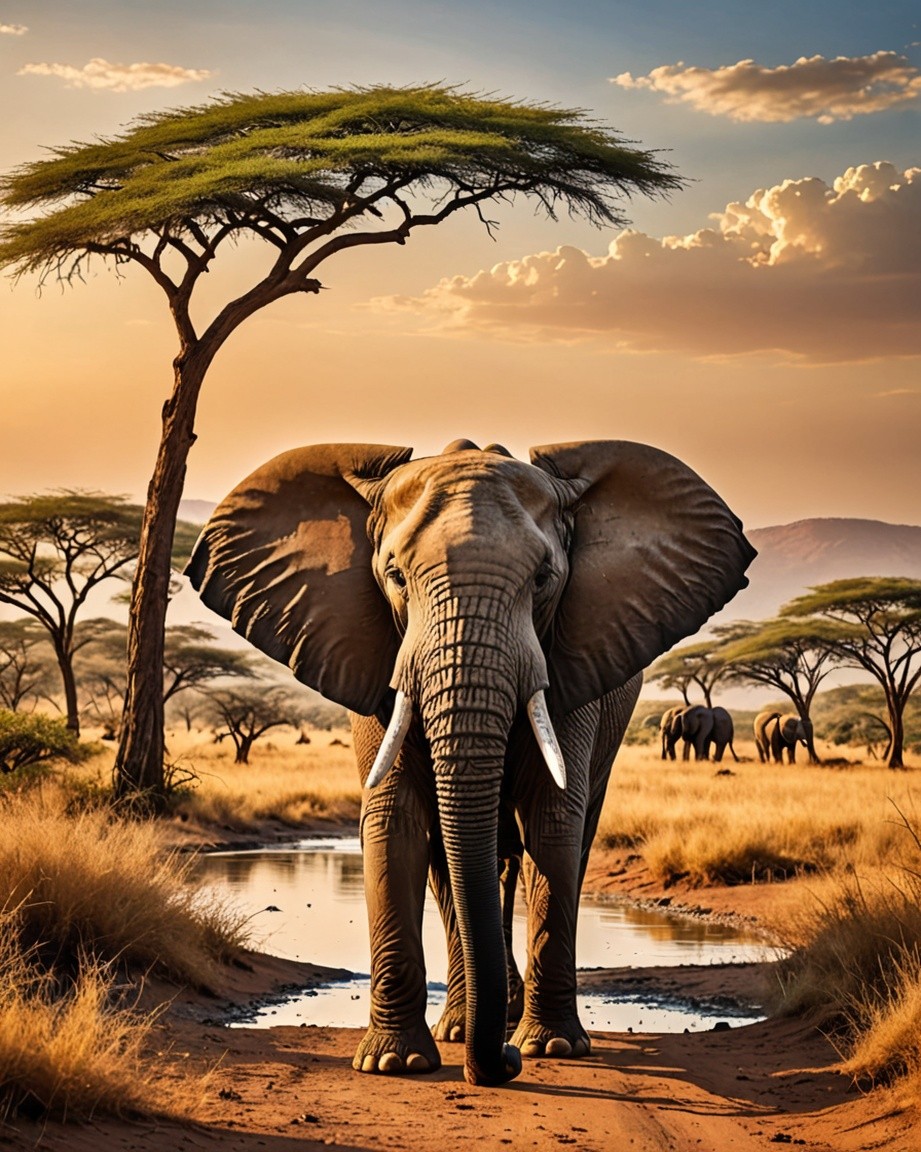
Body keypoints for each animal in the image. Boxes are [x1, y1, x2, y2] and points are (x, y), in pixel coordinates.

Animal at [186, 438, 754, 1087]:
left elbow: (552, 824)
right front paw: (393, 1062)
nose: (504, 1062)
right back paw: (465, 1026)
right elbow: (396, 820)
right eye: (394, 576)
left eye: (544, 579)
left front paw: (551, 1048)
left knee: (557, 847)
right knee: (457, 863)